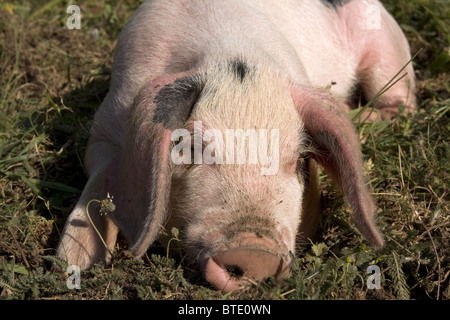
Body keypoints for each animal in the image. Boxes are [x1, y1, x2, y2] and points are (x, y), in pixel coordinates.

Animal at [56, 0, 414, 292]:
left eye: (300, 159)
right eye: (188, 148)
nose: (253, 251)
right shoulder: (104, 129)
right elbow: (100, 176)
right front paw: (72, 265)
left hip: (389, 47)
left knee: (402, 104)